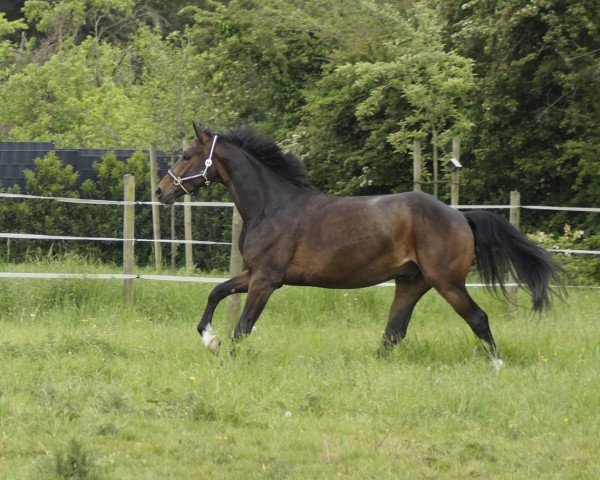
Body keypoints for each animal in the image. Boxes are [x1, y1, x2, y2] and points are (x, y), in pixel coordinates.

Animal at [156, 122, 564, 366]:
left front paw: (225, 356)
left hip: (446, 281)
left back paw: (497, 365)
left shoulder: (267, 280)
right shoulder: (255, 274)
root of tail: (460, 216)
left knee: (476, 318)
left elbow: (243, 326)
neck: (272, 205)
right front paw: (209, 339)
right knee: (393, 332)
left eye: (187, 155)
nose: (161, 191)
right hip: (412, 282)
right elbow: (217, 292)